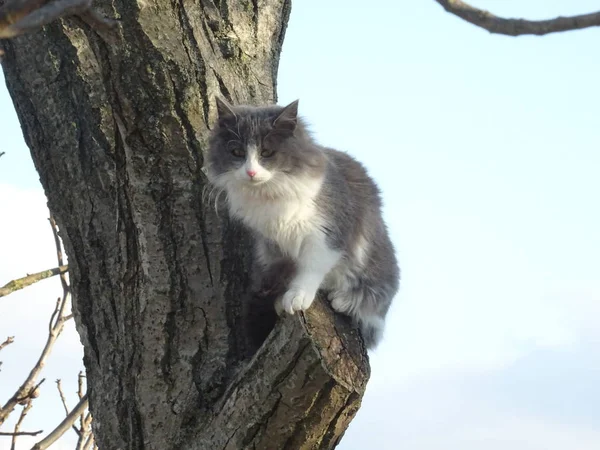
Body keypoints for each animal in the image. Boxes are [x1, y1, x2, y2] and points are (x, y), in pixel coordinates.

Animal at [206, 96, 398, 348]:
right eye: (237, 152)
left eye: (266, 152)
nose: (251, 172)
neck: (270, 195)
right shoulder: (272, 246)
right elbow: (285, 273)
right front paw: (281, 299)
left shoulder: (326, 233)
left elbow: (311, 268)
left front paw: (297, 296)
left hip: (376, 260)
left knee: (376, 308)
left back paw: (344, 300)